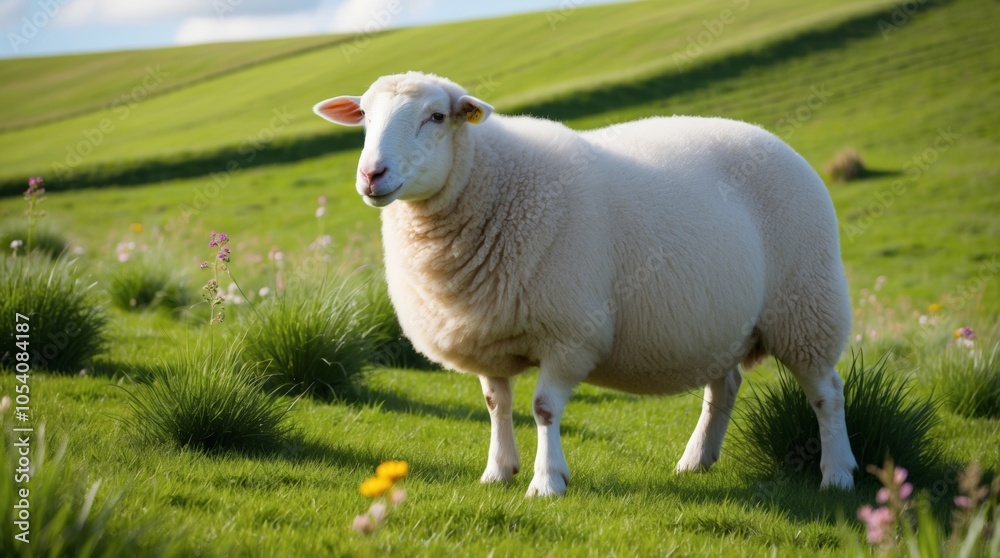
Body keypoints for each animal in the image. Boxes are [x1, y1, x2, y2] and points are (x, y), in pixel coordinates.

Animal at [313, 71, 858, 497]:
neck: (493, 184)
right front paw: (498, 471)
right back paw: (696, 460)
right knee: (724, 386)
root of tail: (778, 143)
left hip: (807, 306)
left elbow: (543, 408)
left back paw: (837, 474)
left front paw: (547, 481)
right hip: (722, 324)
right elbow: (496, 405)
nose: (372, 174)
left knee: (827, 393)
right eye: (363, 116)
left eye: (437, 117)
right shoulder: (487, 332)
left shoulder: (569, 332)